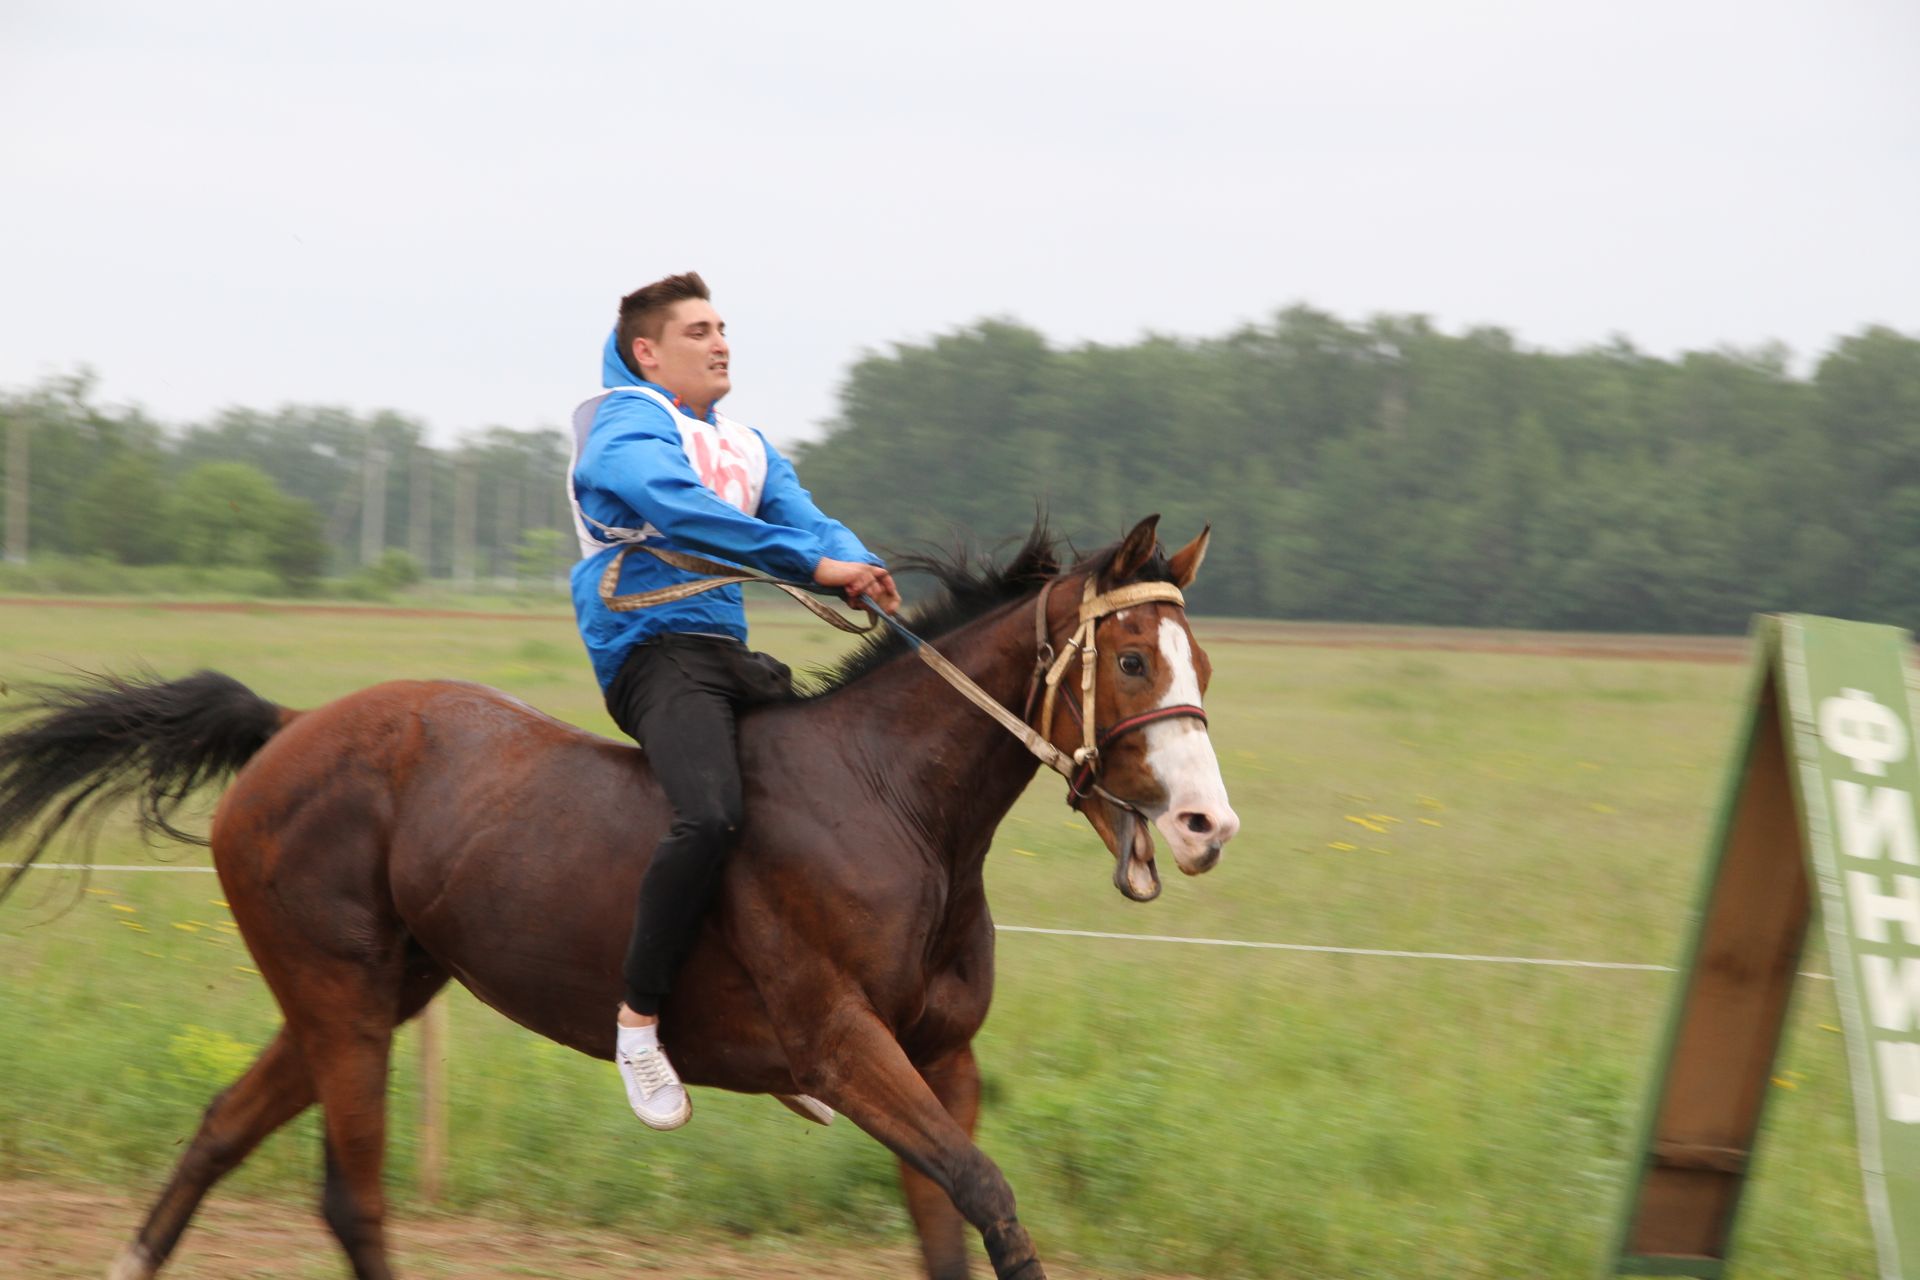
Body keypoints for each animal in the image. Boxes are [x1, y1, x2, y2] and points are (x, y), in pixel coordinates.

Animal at [0, 518, 1244, 1280]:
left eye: (1204, 665)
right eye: (1133, 661)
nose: (1205, 825)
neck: (894, 803)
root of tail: (292, 726)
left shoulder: (944, 1058)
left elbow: (953, 1227)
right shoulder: (847, 1047)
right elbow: (988, 1193)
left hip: (369, 993)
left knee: (221, 1125)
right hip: (341, 996)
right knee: (355, 1197)